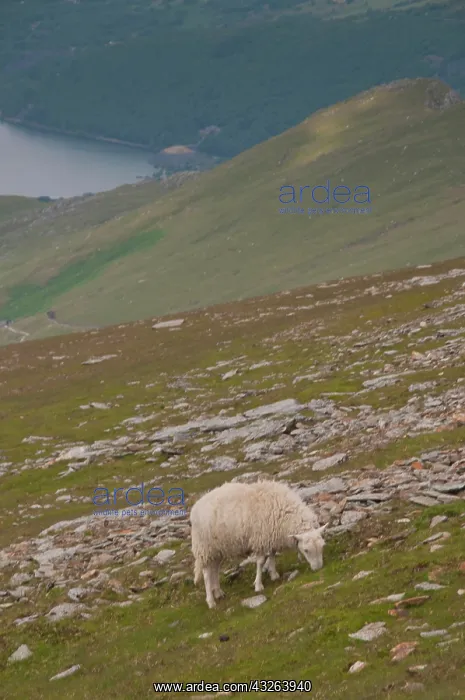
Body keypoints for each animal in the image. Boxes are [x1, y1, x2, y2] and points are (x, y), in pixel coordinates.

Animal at [190, 479, 327, 608]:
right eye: (306, 550)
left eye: (322, 547)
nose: (318, 568)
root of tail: (196, 506)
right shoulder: (260, 539)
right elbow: (261, 561)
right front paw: (258, 585)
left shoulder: (270, 536)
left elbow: (272, 555)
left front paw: (273, 574)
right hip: (204, 548)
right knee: (206, 573)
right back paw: (211, 601)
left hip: (217, 549)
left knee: (214, 569)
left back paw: (218, 593)